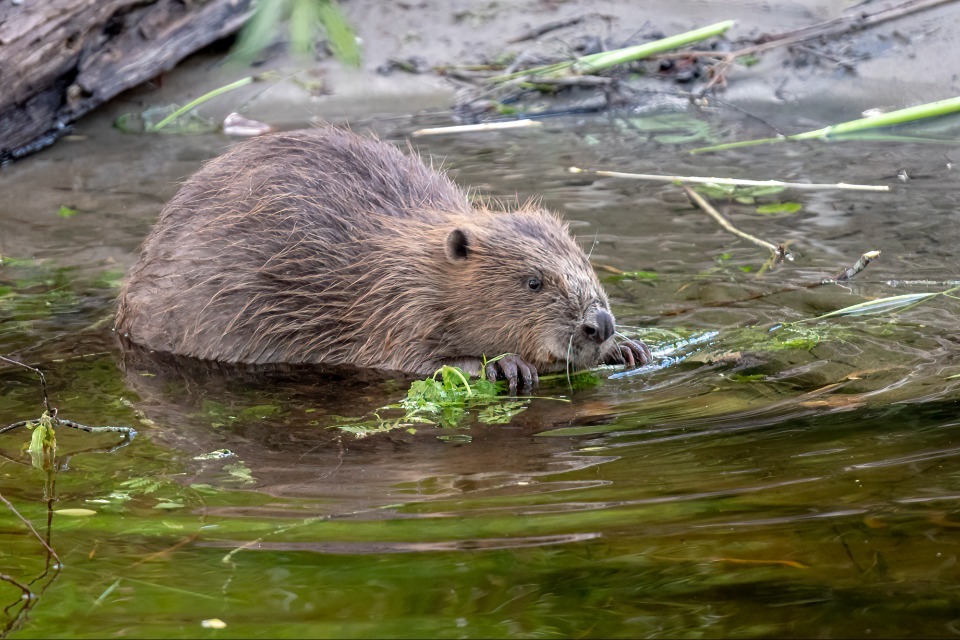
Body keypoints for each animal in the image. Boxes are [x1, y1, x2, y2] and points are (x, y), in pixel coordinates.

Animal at [116, 126, 648, 390]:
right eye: (534, 282)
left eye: (586, 265)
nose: (599, 325)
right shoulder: (396, 306)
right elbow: (406, 360)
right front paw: (506, 366)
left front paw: (629, 349)